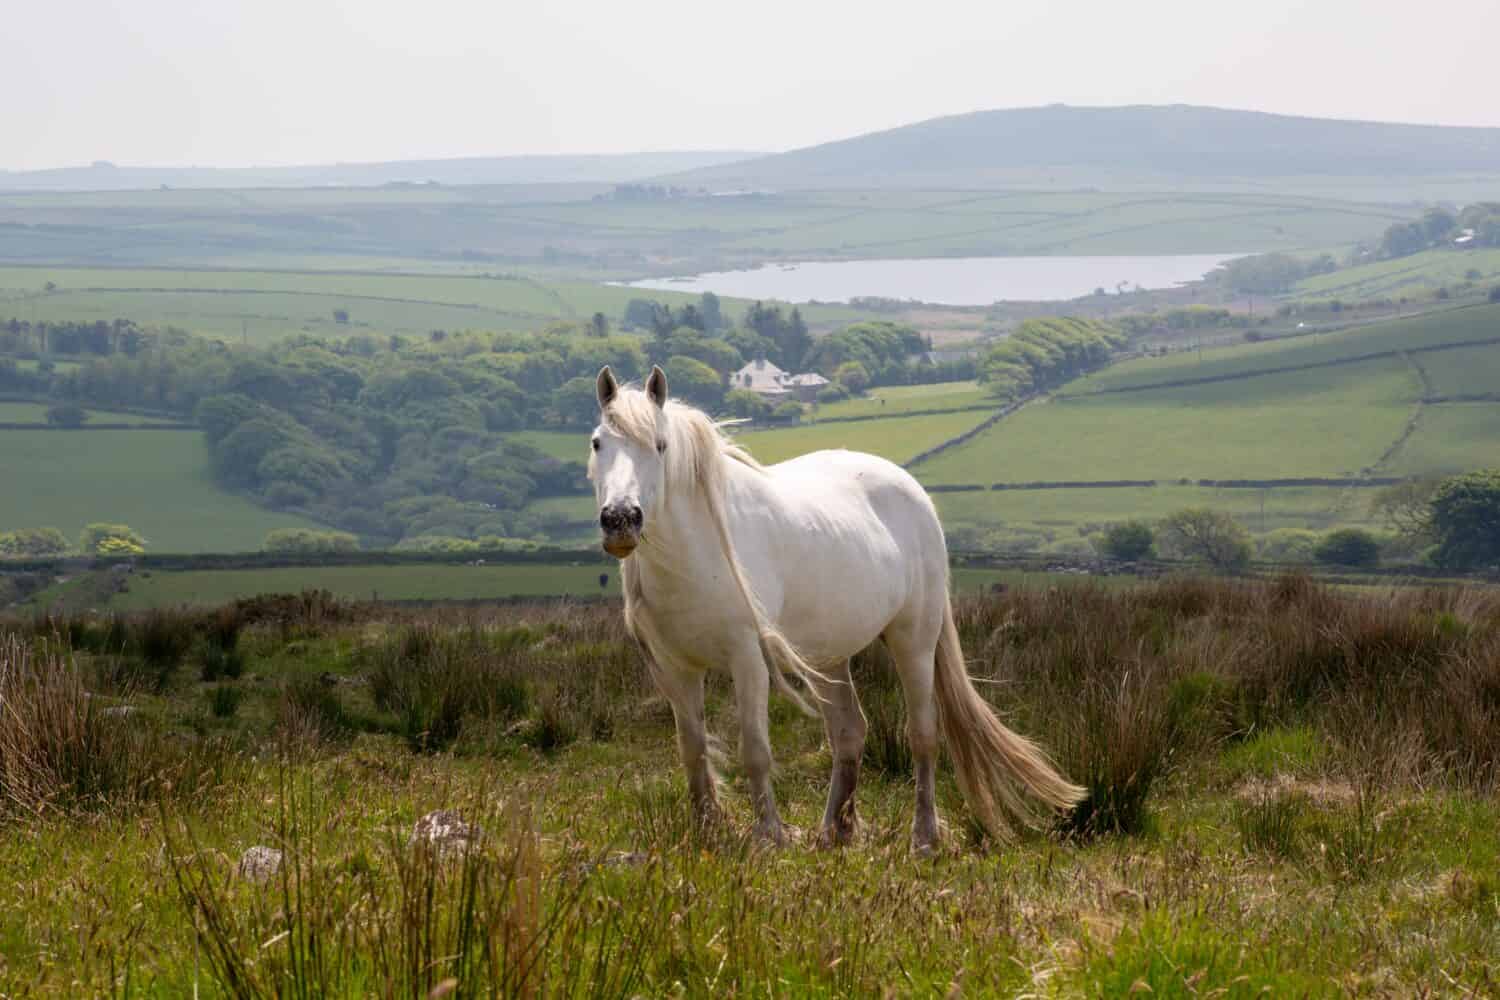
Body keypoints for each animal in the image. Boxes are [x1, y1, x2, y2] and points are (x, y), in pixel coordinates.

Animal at [589, 365, 1083, 853]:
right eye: (597, 442)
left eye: (659, 445)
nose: (620, 520)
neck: (698, 550)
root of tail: (913, 491)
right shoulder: (678, 669)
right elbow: (692, 751)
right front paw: (707, 833)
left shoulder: (748, 659)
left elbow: (755, 750)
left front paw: (770, 838)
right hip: (829, 659)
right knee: (849, 733)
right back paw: (833, 832)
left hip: (914, 640)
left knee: (922, 733)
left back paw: (923, 838)